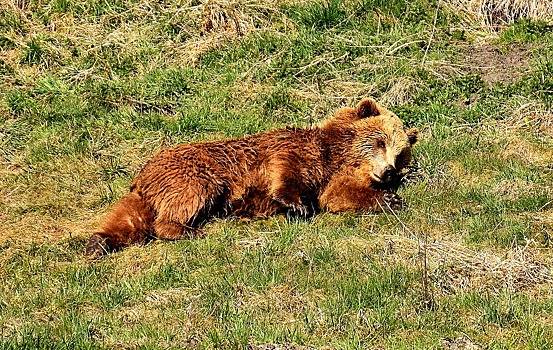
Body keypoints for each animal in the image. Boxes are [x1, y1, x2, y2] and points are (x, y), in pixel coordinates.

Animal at [84, 98, 416, 258]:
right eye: (381, 141)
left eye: (401, 153)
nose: (388, 171)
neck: (336, 154)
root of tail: (144, 175)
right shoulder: (292, 151)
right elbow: (287, 173)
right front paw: (297, 206)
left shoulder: (333, 177)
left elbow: (339, 196)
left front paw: (390, 199)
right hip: (192, 172)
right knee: (184, 200)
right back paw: (187, 230)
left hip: (148, 192)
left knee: (129, 219)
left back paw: (99, 242)